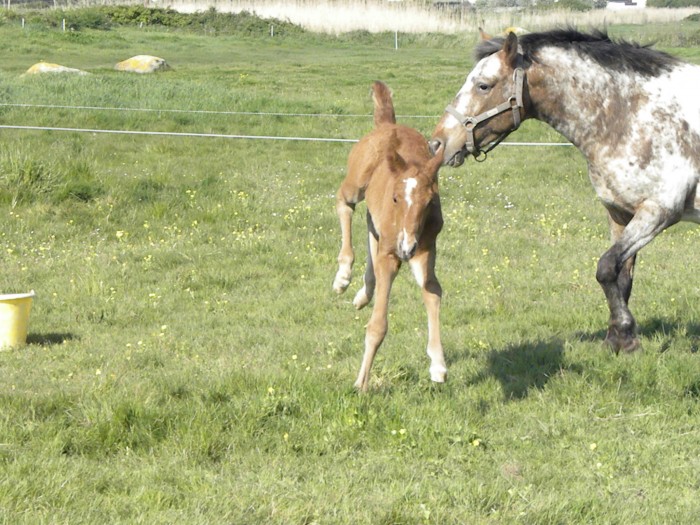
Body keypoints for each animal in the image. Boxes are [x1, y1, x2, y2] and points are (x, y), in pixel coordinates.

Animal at [332, 79, 442, 388]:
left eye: (429, 202)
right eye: (395, 198)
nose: (407, 247)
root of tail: (387, 124)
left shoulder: (425, 251)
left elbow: (433, 291)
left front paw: (438, 365)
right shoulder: (392, 257)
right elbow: (379, 324)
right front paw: (361, 383)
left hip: (378, 220)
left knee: (371, 231)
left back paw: (362, 294)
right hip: (356, 183)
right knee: (344, 203)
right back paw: (343, 276)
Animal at [430, 30, 696, 354]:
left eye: (483, 85)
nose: (437, 144)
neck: (632, 114)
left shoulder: (659, 211)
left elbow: (606, 267)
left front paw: (625, 334)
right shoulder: (620, 214)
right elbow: (621, 277)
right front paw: (618, 340)